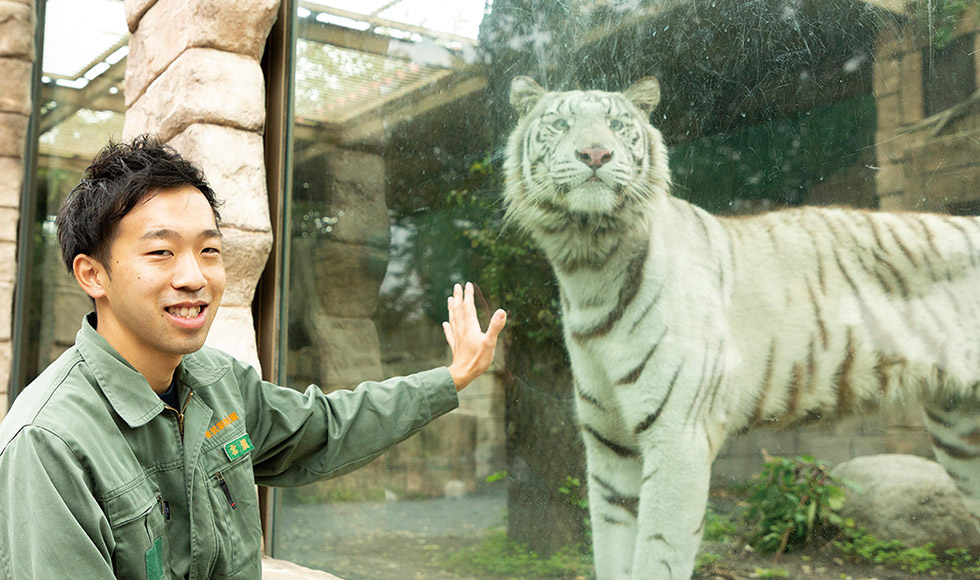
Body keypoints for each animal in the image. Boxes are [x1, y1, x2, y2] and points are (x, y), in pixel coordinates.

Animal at [502, 75, 980, 576]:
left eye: (616, 125)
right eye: (560, 124)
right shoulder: (610, 448)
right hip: (962, 433)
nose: (595, 154)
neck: (589, 266)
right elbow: (613, 553)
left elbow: (657, 553)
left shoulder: (679, 437)